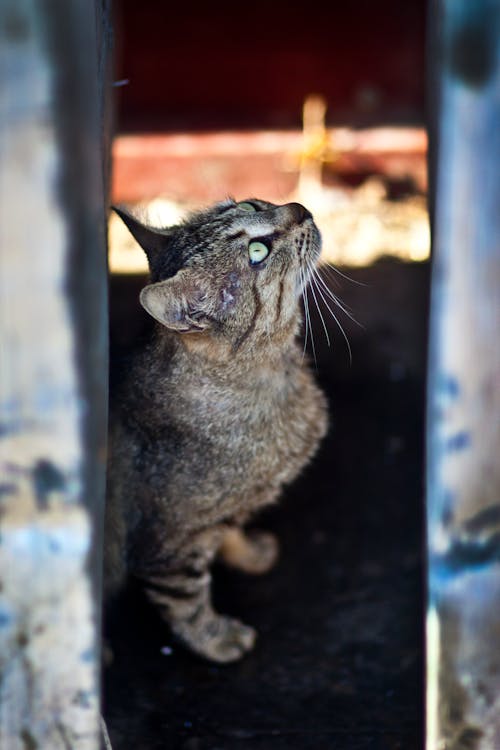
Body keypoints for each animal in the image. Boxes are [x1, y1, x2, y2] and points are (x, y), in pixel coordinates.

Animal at [105, 195, 328, 664]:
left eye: (254, 203)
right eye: (257, 252)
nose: (300, 207)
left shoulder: (222, 515)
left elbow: (230, 530)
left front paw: (249, 552)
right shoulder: (166, 548)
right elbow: (187, 605)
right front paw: (218, 639)